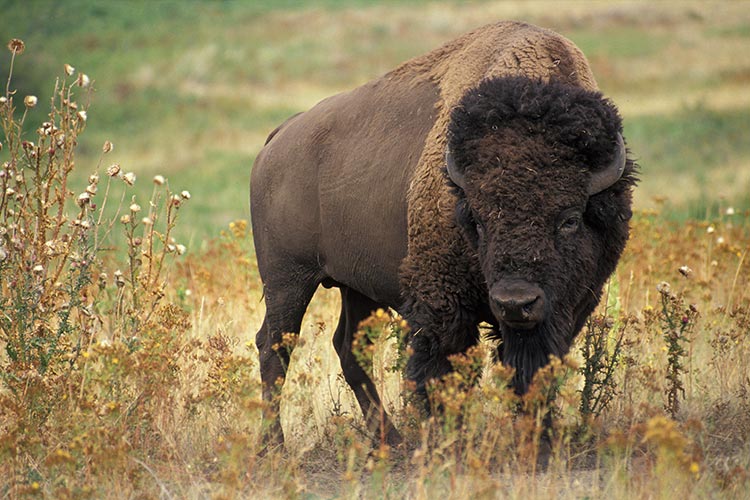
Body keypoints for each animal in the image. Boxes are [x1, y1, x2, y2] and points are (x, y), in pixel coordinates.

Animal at [251, 21, 636, 446]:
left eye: (569, 218)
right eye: (478, 220)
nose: (515, 302)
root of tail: (280, 136)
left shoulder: (567, 307)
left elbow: (533, 371)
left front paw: (538, 438)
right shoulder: (442, 305)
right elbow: (442, 372)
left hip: (355, 286)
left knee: (348, 347)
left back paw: (390, 439)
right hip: (287, 279)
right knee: (275, 346)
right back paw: (274, 445)